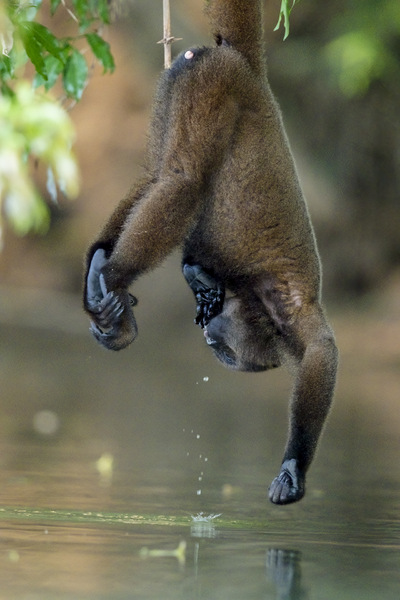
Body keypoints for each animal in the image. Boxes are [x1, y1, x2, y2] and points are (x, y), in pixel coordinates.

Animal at [83, 0, 338, 506]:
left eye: (221, 352)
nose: (206, 337)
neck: (250, 295)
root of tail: (253, 73)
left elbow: (193, 261)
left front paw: (195, 281)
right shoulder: (289, 303)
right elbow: (322, 351)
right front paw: (294, 468)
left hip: (183, 80)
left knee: (154, 174)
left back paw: (99, 263)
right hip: (216, 82)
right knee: (184, 180)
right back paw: (115, 274)